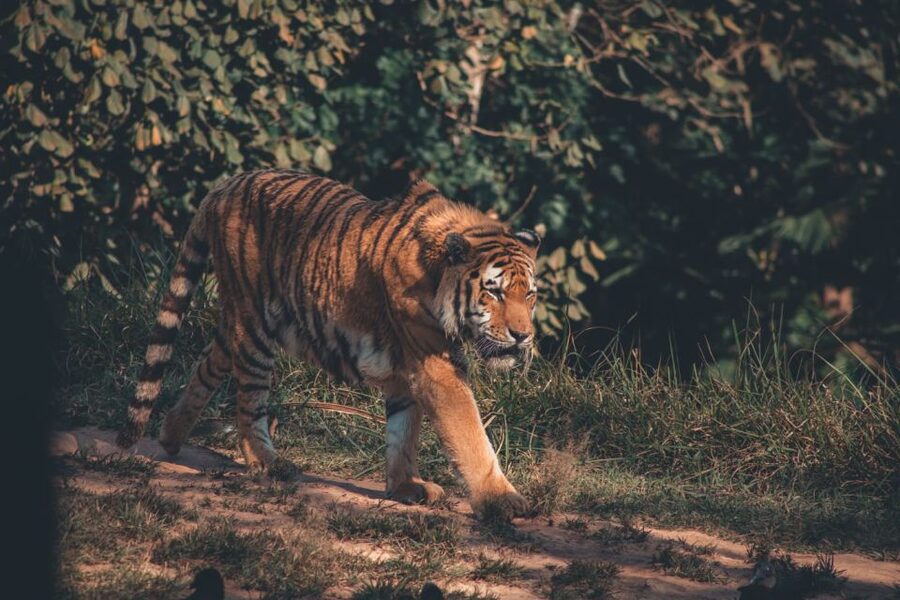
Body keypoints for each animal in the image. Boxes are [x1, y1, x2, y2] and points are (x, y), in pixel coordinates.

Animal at [116, 169, 540, 515]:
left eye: (530, 295)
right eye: (494, 292)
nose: (523, 336)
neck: (437, 274)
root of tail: (225, 185)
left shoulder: (407, 369)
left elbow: (403, 430)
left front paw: (406, 487)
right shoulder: (434, 365)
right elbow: (468, 434)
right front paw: (501, 500)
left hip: (240, 321)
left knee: (208, 362)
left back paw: (171, 435)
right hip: (255, 328)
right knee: (249, 402)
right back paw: (268, 463)